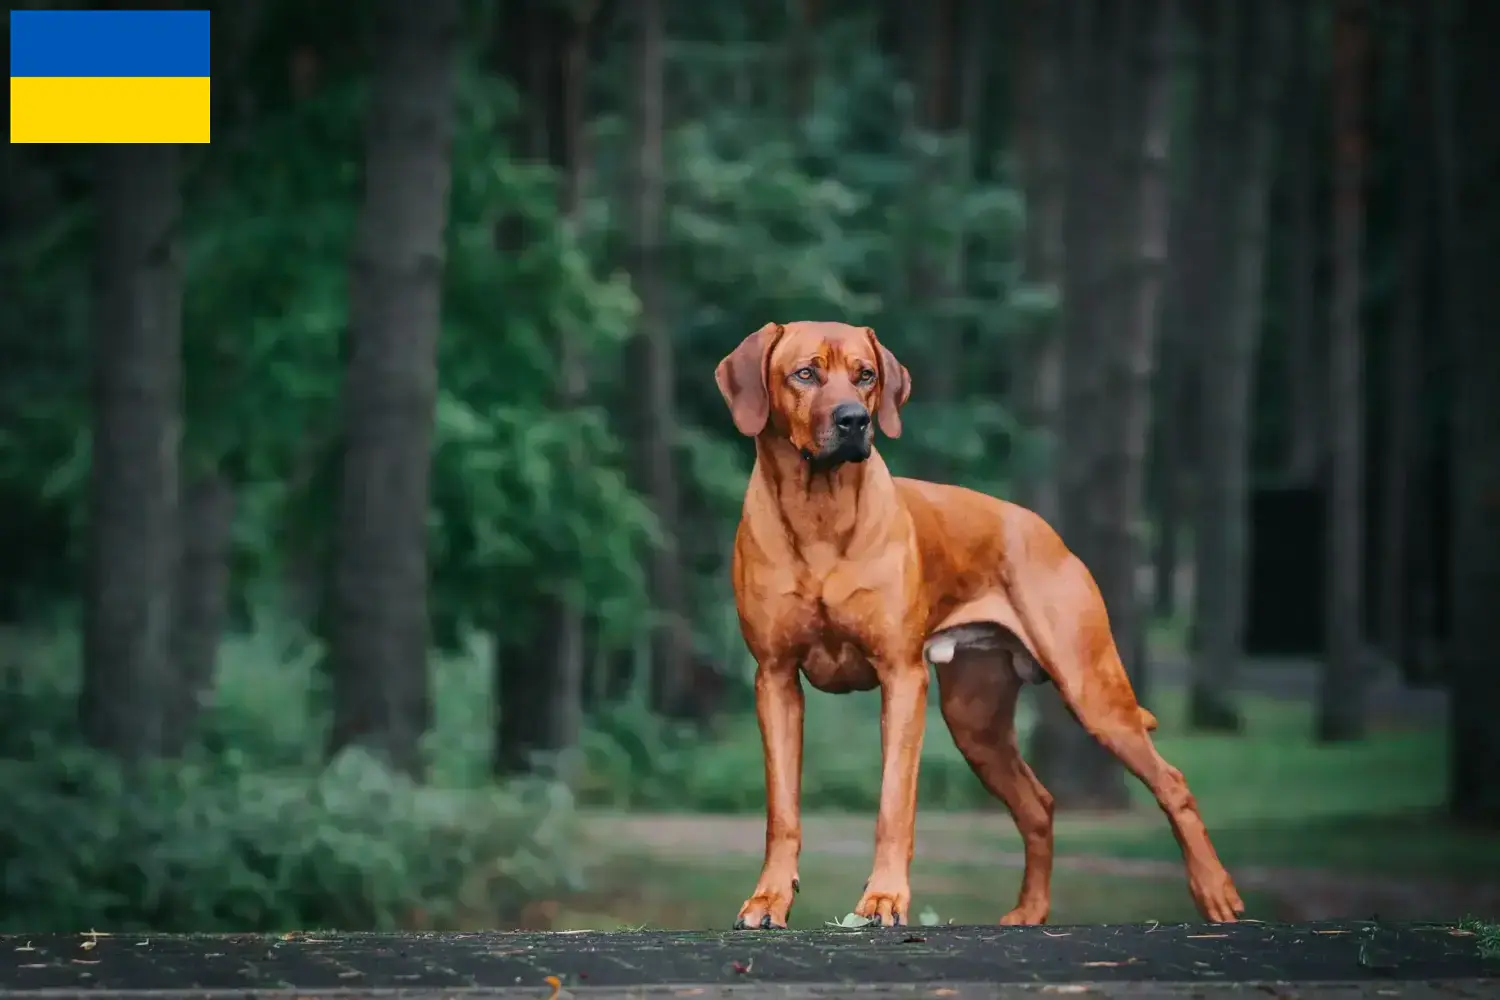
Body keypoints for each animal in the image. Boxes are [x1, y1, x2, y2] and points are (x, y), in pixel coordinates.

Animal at [714, 322, 1242, 929]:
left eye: (865, 375)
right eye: (805, 373)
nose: (854, 420)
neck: (817, 512)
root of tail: (1043, 529)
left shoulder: (902, 677)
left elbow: (894, 803)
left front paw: (885, 898)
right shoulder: (775, 678)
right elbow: (782, 810)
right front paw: (769, 898)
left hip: (1093, 690)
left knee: (1171, 782)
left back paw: (1216, 893)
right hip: (975, 718)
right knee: (1038, 805)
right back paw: (1030, 910)